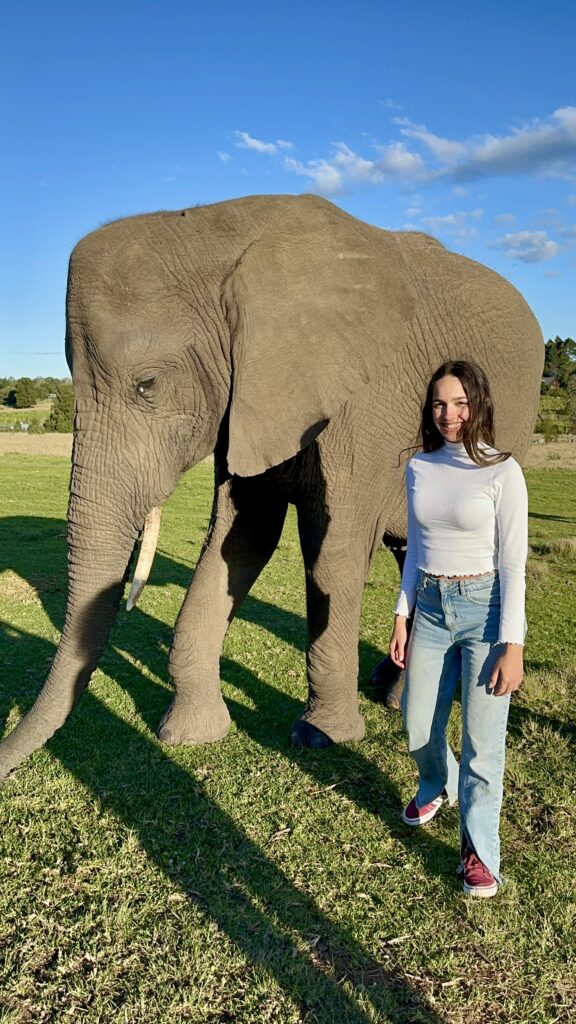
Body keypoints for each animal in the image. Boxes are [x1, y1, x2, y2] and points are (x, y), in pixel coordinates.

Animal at [0, 193, 544, 782]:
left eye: (148, 386)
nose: (6, 760)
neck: (218, 226)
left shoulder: (362, 397)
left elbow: (335, 552)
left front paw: (321, 736)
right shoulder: (246, 397)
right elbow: (239, 538)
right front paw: (190, 733)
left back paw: (403, 700)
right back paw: (392, 687)